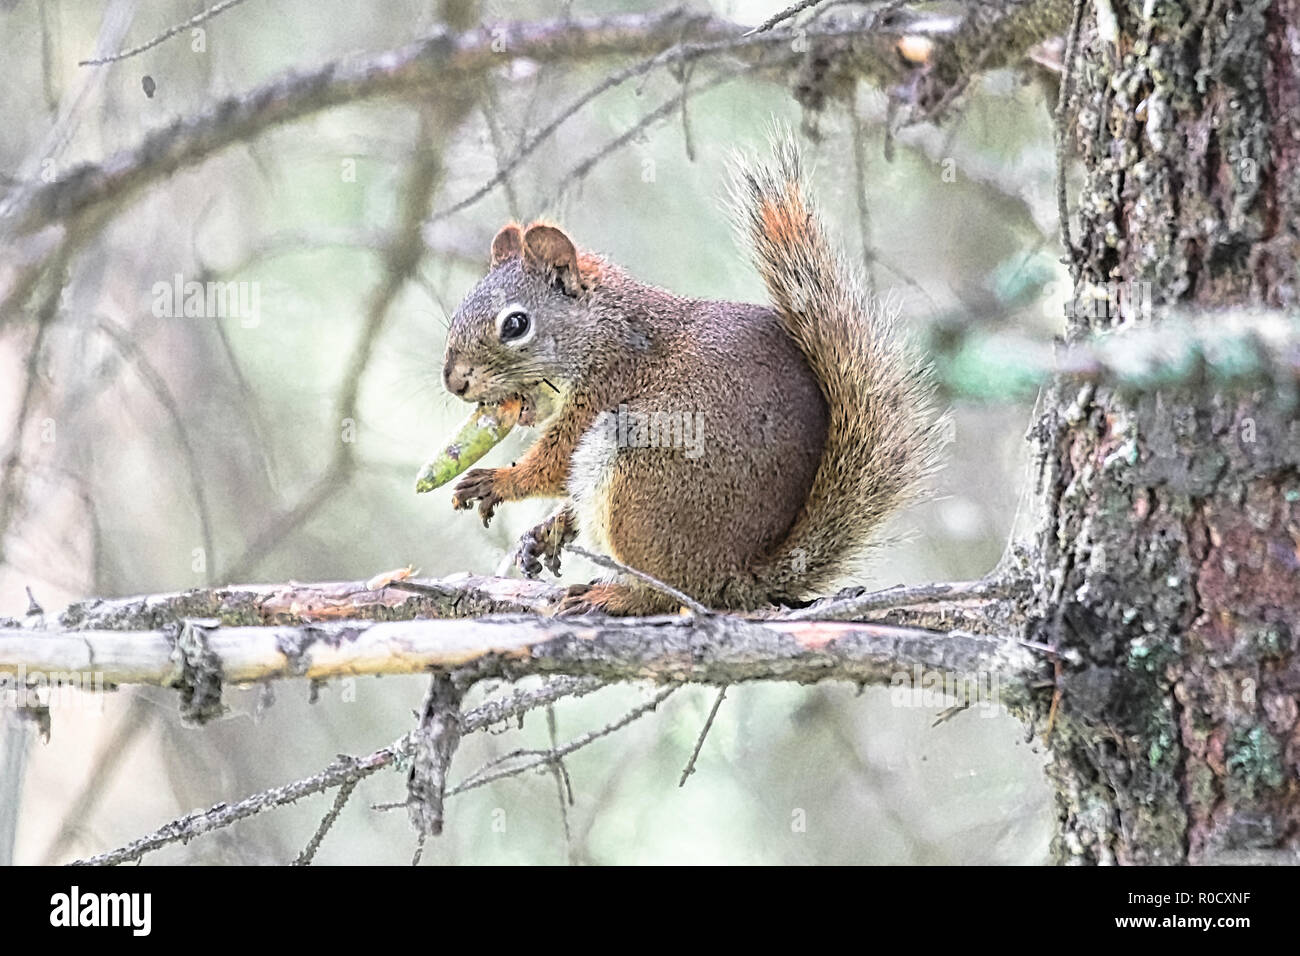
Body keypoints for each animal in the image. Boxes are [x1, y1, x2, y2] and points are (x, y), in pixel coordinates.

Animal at [442, 136, 941, 616]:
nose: (454, 381)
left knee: (668, 591)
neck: (603, 326)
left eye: (516, 324)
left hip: (642, 475)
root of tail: (736, 576)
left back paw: (619, 597)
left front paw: (499, 480)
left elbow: (558, 460)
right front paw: (549, 529)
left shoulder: (609, 381)